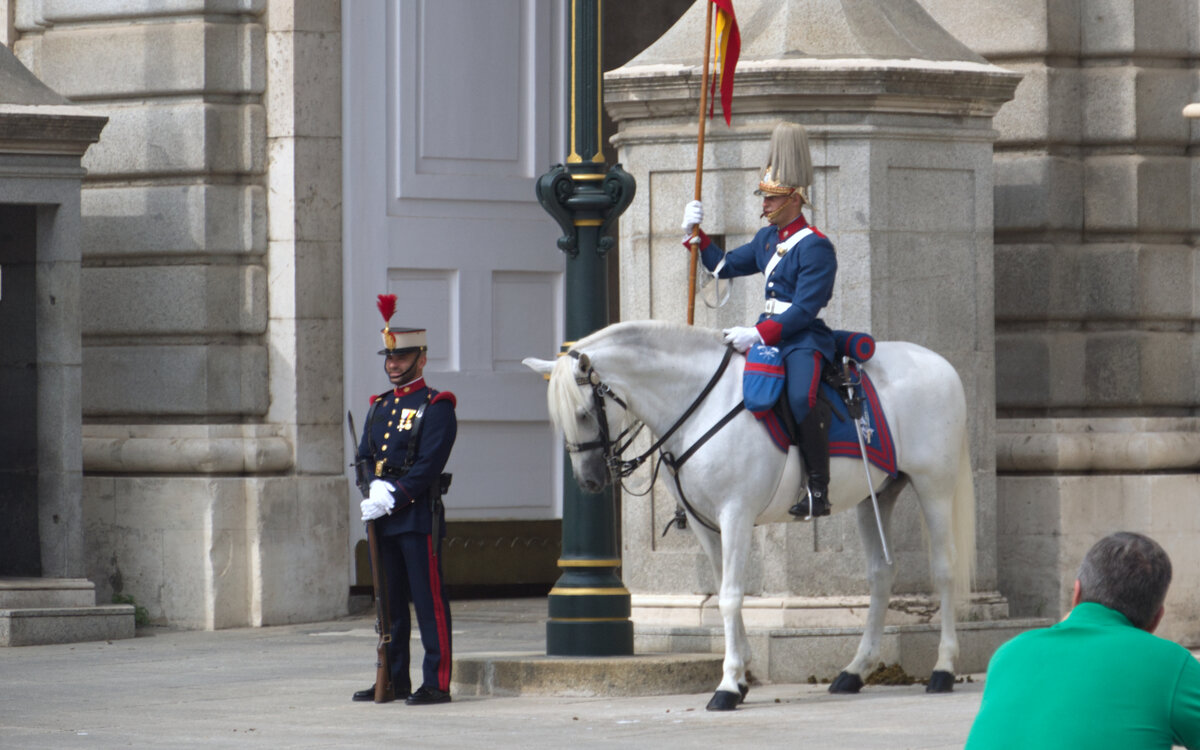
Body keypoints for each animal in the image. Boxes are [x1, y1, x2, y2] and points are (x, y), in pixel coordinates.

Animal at [525, 319, 974, 710]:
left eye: (584, 412)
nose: (589, 481)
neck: (700, 405)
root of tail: (942, 364)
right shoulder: (705, 523)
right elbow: (725, 589)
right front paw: (739, 678)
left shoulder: (736, 514)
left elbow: (730, 597)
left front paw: (727, 685)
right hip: (875, 495)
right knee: (881, 574)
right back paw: (854, 671)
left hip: (934, 486)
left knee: (944, 570)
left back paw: (943, 669)